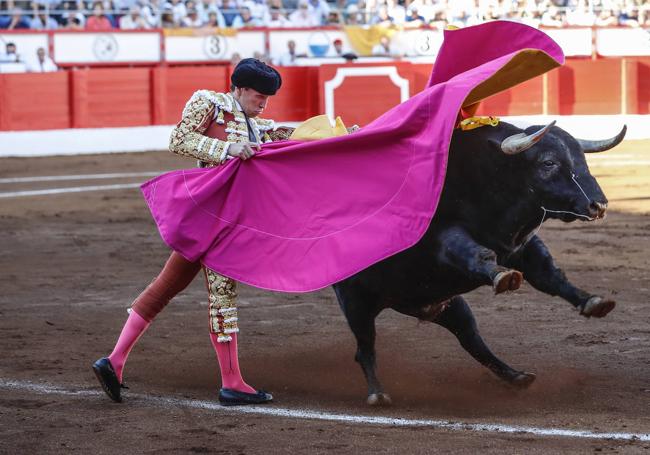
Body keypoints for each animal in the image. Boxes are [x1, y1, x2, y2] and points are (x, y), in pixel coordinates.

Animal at [332, 122, 624, 406]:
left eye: (581, 157)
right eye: (548, 163)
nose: (598, 204)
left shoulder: (522, 247)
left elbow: (549, 275)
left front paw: (593, 302)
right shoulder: (444, 237)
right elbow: (474, 253)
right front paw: (503, 277)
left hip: (444, 306)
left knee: (471, 339)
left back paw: (516, 376)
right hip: (355, 301)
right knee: (365, 347)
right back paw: (377, 393)